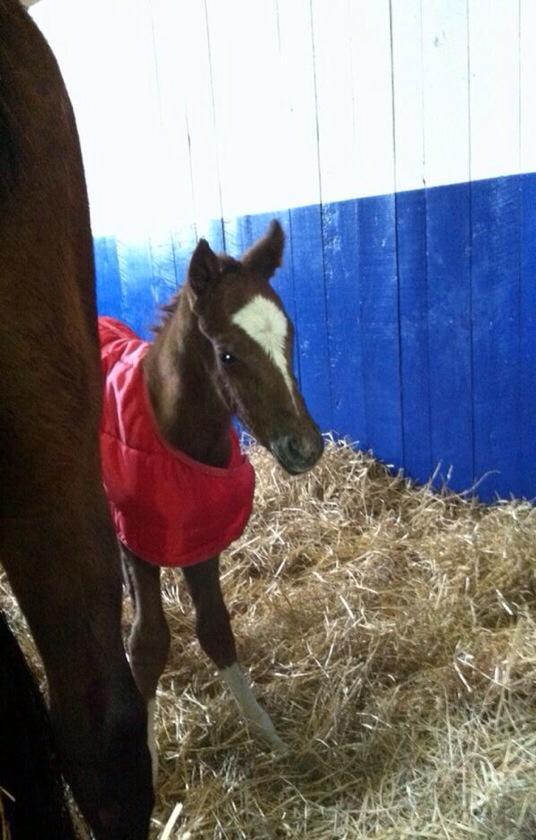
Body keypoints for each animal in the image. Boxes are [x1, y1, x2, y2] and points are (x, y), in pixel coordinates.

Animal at [99, 220, 324, 781]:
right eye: (227, 354)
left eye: (289, 336)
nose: (306, 447)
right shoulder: (137, 537)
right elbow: (149, 641)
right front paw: (146, 763)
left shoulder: (199, 536)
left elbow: (217, 629)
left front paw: (268, 735)